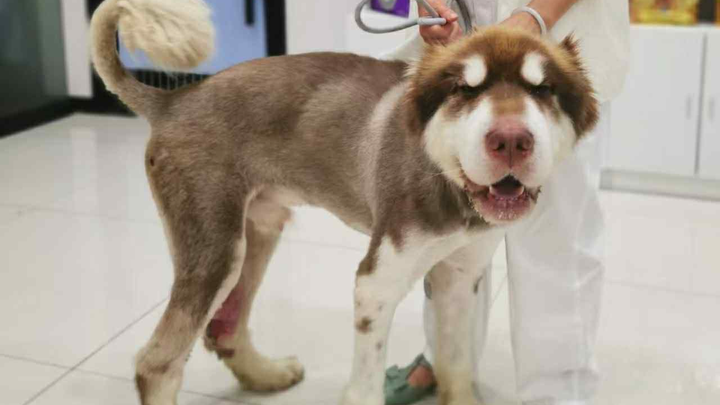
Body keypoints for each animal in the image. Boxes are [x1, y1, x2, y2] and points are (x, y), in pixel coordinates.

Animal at [90, 0, 597, 404]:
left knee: (226, 329)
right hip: (215, 250)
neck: (446, 175)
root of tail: (173, 100)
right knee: (157, 362)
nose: (510, 142)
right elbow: (366, 385)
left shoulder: (458, 276)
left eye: (543, 90)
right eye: (465, 90)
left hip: (257, 231)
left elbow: (455, 367)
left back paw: (267, 375)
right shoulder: (377, 283)